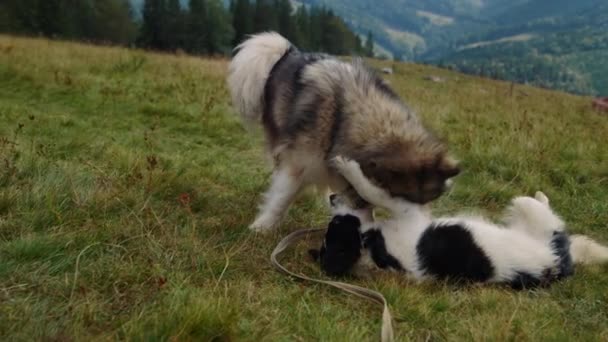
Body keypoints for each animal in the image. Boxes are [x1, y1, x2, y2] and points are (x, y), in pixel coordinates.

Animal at [229, 32, 460, 231]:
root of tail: (289, 51)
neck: (341, 119)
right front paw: (262, 227)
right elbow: (281, 197)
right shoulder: (298, 163)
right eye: (401, 199)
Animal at [312, 158, 608, 288]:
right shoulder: (408, 212)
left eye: (335, 222)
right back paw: (541, 196)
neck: (372, 248)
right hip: (532, 215)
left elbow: (373, 191)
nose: (333, 197)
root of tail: (562, 264)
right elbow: (374, 190)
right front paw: (348, 166)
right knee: (545, 211)